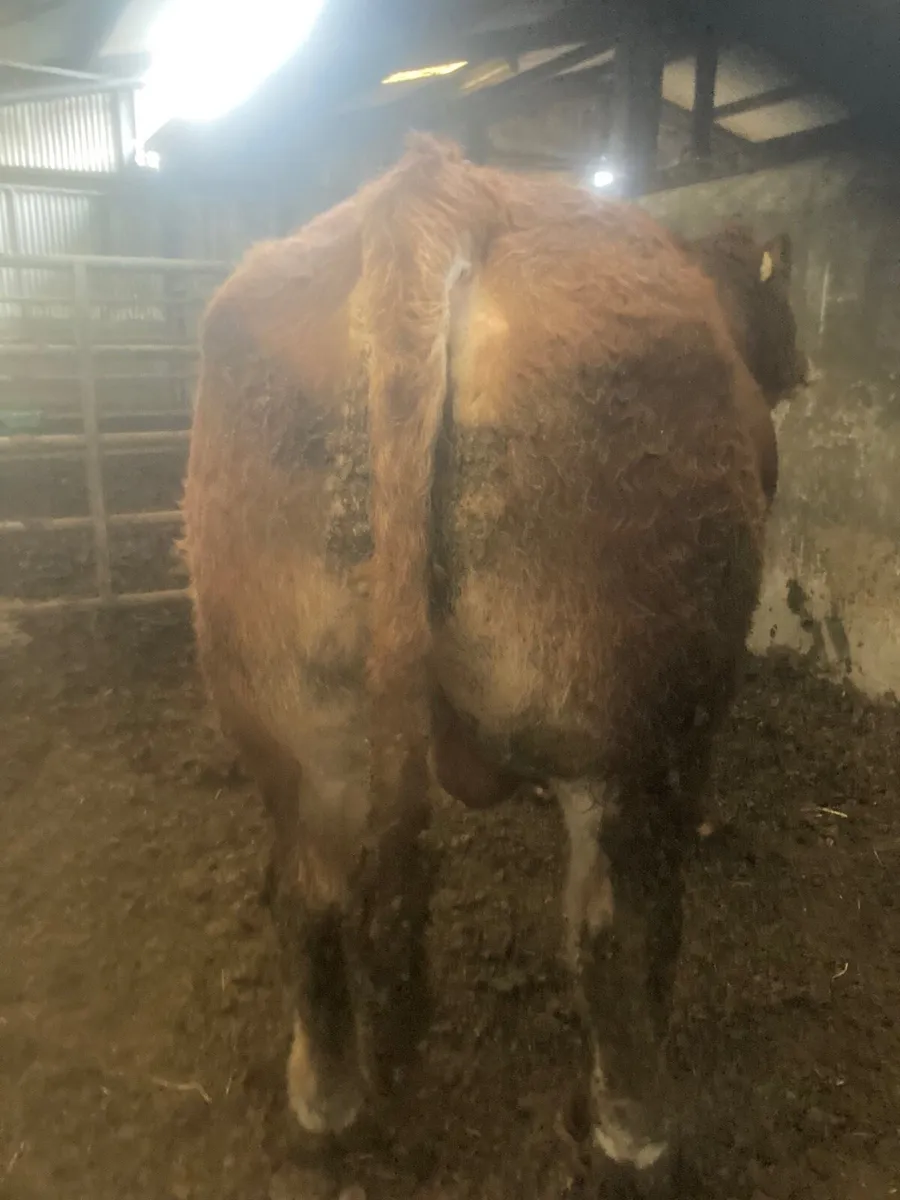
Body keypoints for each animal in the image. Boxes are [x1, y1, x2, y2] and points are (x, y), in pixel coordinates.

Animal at [181, 135, 807, 1197]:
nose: (802, 365)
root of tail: (436, 194)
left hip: (291, 719)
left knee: (307, 891)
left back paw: (325, 1103)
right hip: (630, 721)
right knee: (614, 920)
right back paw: (638, 1130)